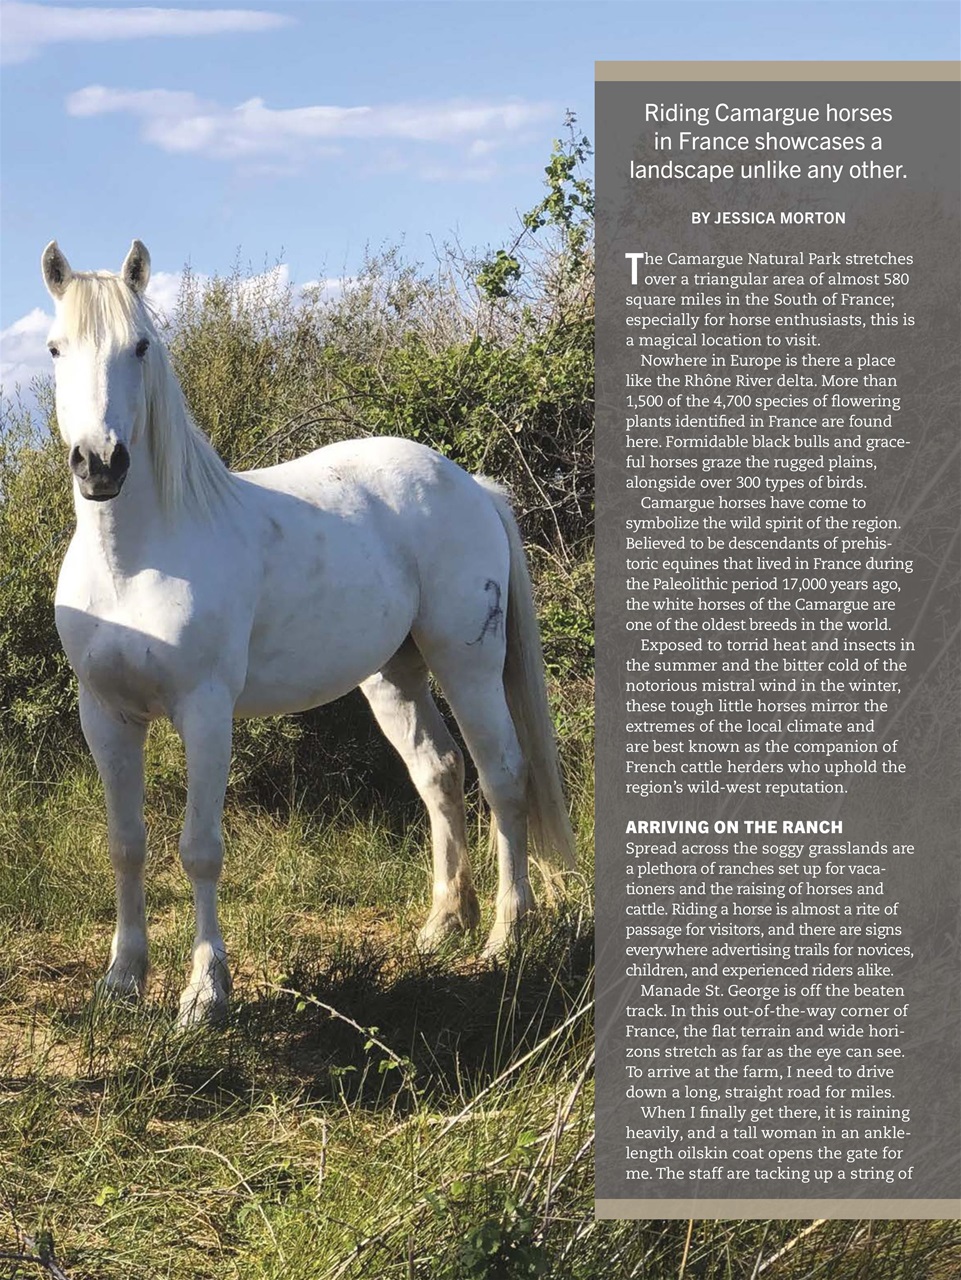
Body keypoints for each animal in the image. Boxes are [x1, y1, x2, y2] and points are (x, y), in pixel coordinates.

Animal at [41, 239, 576, 1027]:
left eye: (139, 346)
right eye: (55, 348)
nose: (100, 464)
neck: (136, 560)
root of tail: (472, 486)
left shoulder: (205, 712)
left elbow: (198, 848)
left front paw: (205, 994)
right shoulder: (105, 715)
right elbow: (126, 844)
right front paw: (122, 981)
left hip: (468, 666)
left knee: (503, 775)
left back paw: (506, 935)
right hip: (394, 674)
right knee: (440, 774)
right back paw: (442, 925)